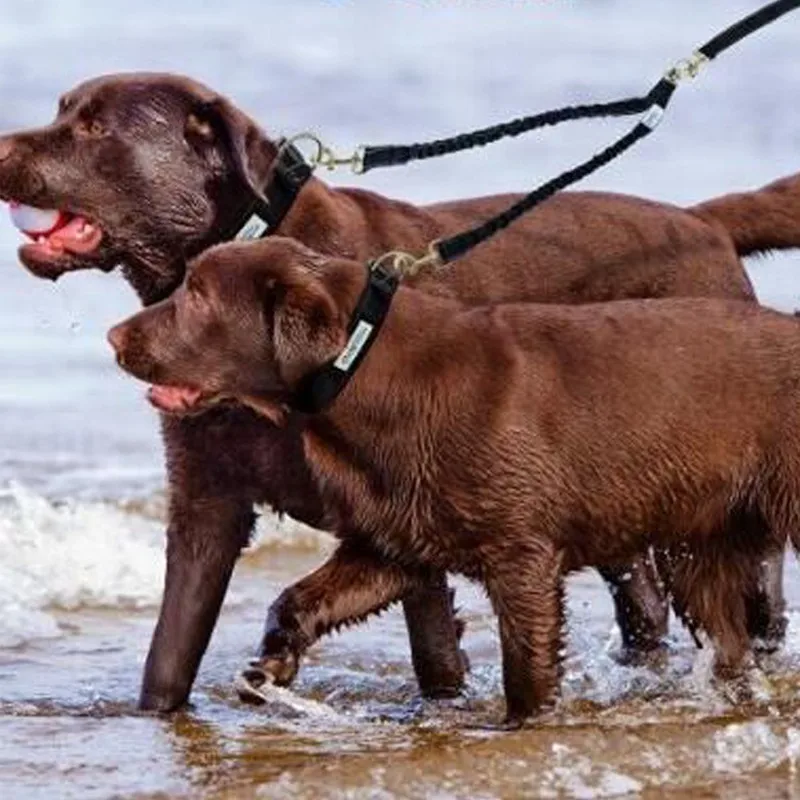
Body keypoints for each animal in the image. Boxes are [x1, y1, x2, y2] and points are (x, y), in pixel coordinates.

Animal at [1, 72, 800, 708]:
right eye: (62, 107)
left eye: (93, 126)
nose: (1, 148)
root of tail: (702, 221)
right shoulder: (212, 506)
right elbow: (169, 658)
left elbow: (437, 654)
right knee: (647, 606)